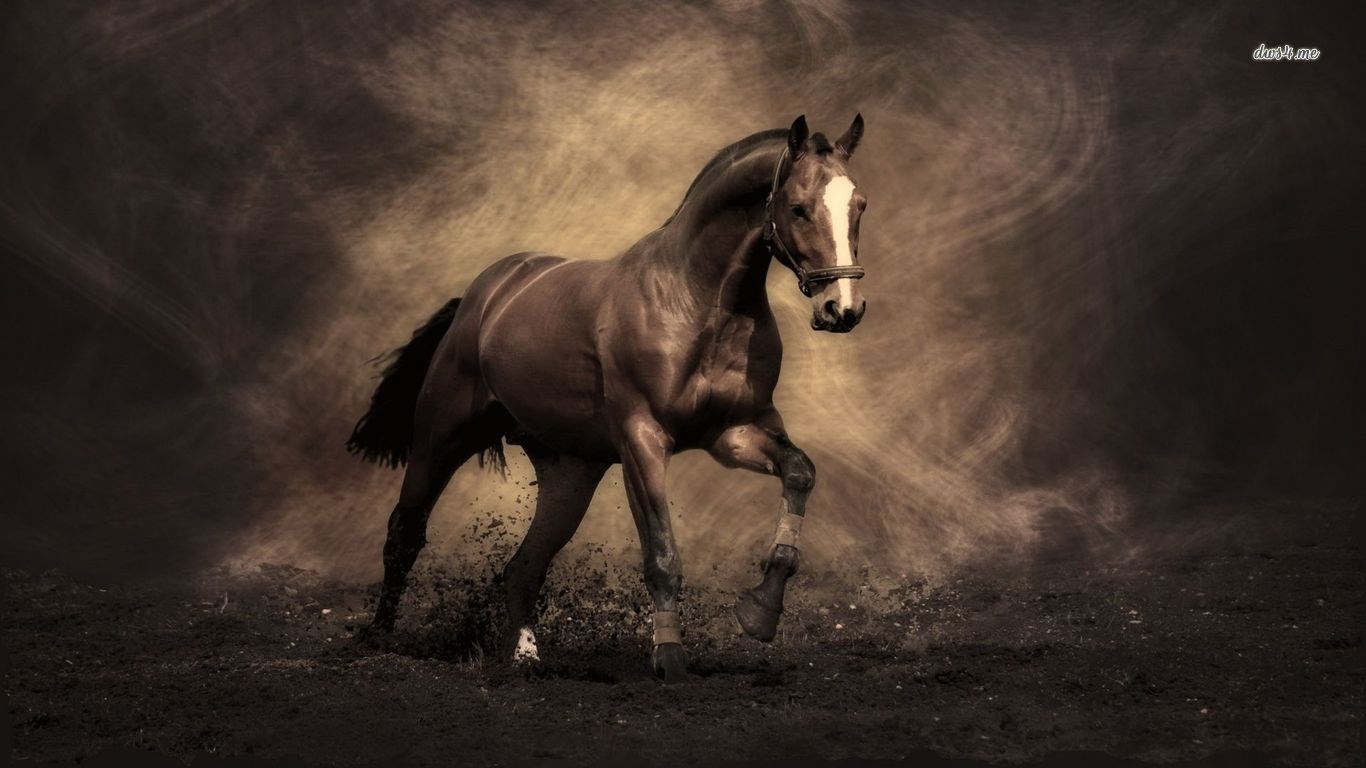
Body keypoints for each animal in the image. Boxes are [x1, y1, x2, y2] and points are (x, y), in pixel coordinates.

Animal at [347, 114, 869, 681]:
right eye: (797, 207)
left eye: (859, 205)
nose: (843, 309)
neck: (698, 302)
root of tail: (483, 297)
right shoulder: (642, 441)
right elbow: (661, 555)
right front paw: (670, 660)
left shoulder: (734, 433)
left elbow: (800, 473)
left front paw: (759, 613)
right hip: (441, 439)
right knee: (405, 534)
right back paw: (379, 638)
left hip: (570, 474)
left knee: (524, 566)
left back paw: (525, 658)